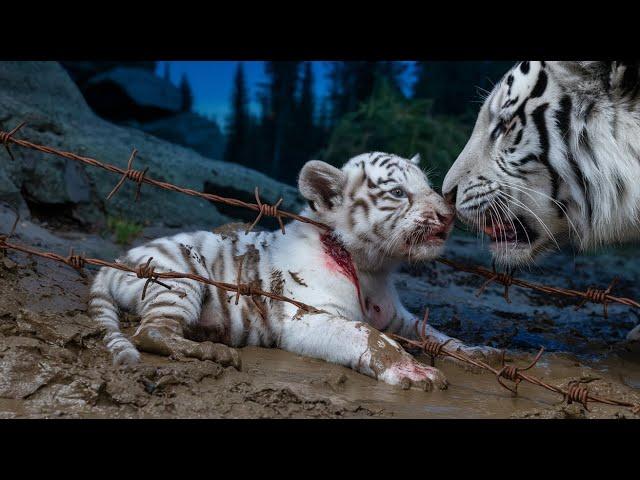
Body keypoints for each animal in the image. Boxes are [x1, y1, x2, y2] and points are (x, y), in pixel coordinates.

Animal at [90, 153, 476, 390]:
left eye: (429, 187)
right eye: (398, 192)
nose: (448, 215)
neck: (372, 266)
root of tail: (117, 261)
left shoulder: (396, 315)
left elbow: (432, 333)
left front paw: (476, 352)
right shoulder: (306, 318)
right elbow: (365, 334)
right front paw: (413, 370)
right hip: (179, 280)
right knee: (150, 332)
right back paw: (212, 352)